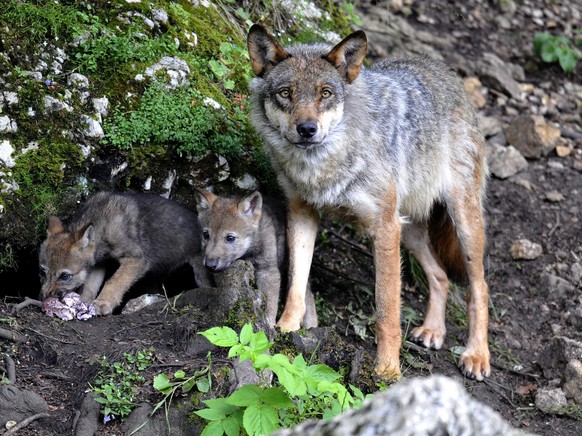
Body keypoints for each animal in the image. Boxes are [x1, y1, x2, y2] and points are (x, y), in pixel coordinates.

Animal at [39, 191, 212, 314]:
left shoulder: (137, 259)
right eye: (42, 272)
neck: (101, 224)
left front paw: (103, 303)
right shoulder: (99, 264)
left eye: (65, 276)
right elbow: (90, 286)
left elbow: (113, 281)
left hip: (201, 273)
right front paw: (83, 302)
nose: (44, 297)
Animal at [248, 23, 492, 380]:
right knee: (441, 276)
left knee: (479, 287)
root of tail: (446, 72)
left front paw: (387, 371)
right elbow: (296, 283)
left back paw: (477, 355)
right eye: (285, 92)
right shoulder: (302, 212)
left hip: (461, 223)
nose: (307, 129)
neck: (322, 167)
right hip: (410, 232)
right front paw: (285, 329)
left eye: (325, 93)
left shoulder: (384, 229)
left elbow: (386, 313)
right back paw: (433, 330)